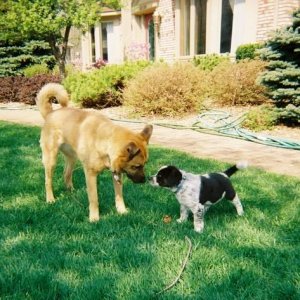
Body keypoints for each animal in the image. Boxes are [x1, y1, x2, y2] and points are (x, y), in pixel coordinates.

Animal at [36, 83, 152, 221]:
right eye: (136, 166)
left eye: (144, 164)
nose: (144, 181)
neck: (105, 142)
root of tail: (50, 113)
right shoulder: (90, 175)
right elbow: (94, 199)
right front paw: (94, 218)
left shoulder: (117, 174)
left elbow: (119, 196)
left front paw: (122, 211)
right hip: (51, 160)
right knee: (48, 181)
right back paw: (50, 199)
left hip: (72, 158)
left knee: (66, 174)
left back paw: (72, 192)